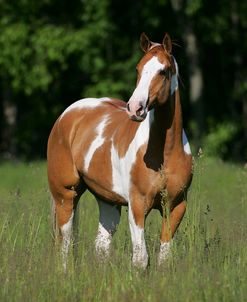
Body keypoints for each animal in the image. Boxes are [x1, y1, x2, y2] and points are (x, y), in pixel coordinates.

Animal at [46, 32, 193, 268]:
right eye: (138, 68)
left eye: (163, 71)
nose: (135, 108)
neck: (166, 153)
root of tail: (67, 114)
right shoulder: (137, 205)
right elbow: (141, 259)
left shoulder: (175, 206)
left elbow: (164, 259)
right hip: (65, 195)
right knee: (65, 244)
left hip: (107, 200)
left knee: (101, 245)